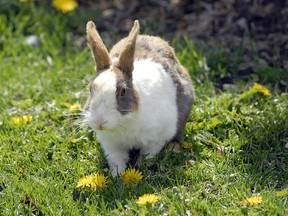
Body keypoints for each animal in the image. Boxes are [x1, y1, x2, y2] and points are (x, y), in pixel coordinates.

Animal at [84, 19, 195, 176]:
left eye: (123, 91)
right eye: (90, 89)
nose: (100, 121)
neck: (123, 122)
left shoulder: (156, 138)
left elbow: (148, 154)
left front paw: (140, 168)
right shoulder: (112, 146)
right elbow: (117, 160)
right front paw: (117, 175)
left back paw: (173, 148)